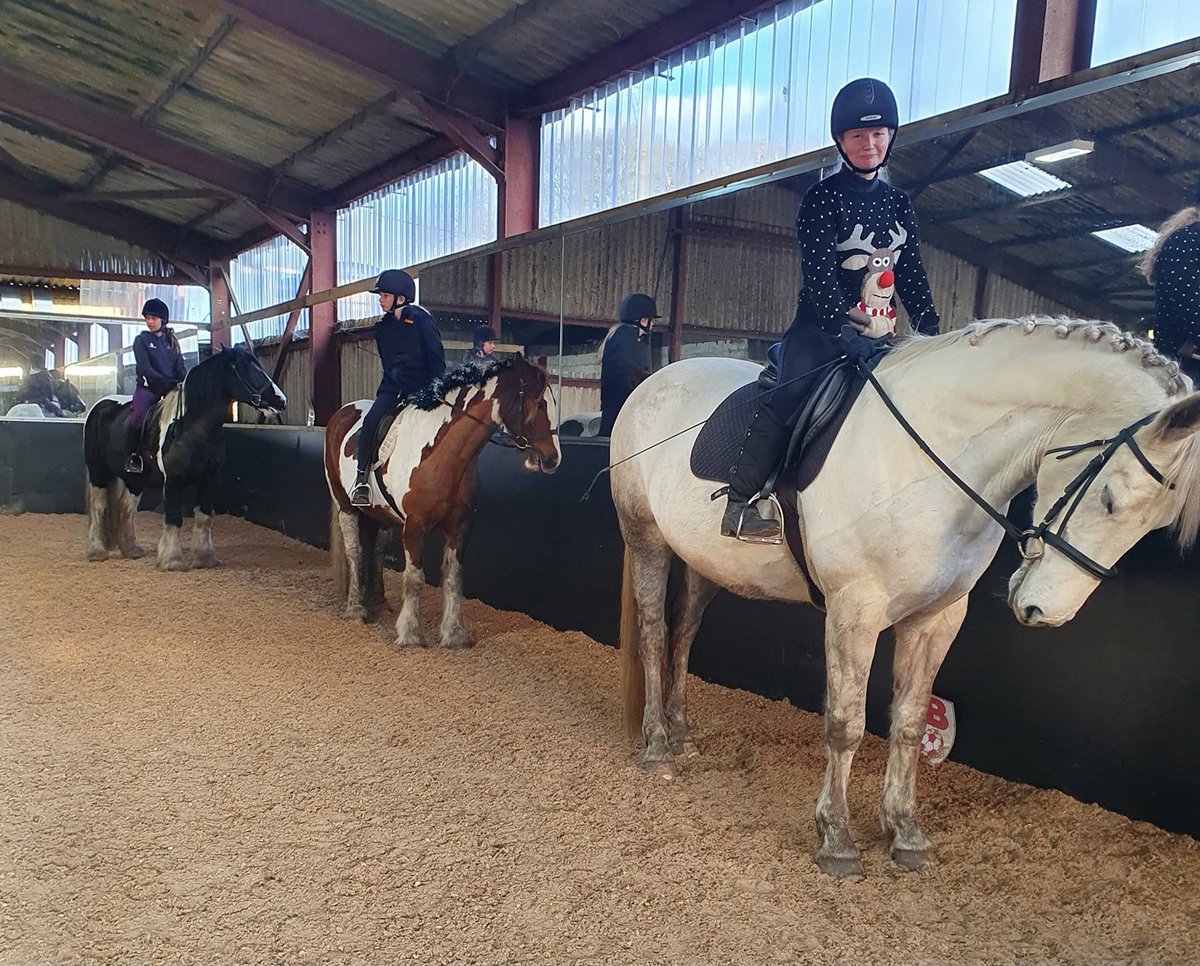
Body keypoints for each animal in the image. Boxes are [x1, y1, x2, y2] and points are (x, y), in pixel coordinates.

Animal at [83, 345, 287, 570]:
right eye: (248, 368)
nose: (281, 401)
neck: (193, 429)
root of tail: (100, 406)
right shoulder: (173, 481)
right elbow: (174, 519)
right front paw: (172, 561)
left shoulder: (209, 480)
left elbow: (204, 517)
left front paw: (204, 558)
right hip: (98, 471)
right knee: (99, 505)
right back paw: (96, 551)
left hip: (135, 479)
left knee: (126, 507)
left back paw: (131, 550)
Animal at [325, 355, 561, 649]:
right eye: (539, 403)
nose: (553, 459)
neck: (443, 454)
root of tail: (342, 413)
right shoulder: (414, 527)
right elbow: (414, 579)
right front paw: (411, 634)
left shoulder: (461, 527)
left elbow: (453, 578)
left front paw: (454, 634)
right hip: (345, 505)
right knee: (355, 551)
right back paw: (356, 609)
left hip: (380, 515)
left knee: (376, 550)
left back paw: (377, 602)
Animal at [611, 318, 1200, 879]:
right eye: (1109, 497)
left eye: (1156, 526)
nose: (1045, 611)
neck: (931, 457)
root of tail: (655, 381)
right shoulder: (855, 610)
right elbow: (845, 724)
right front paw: (837, 839)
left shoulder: (937, 617)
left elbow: (911, 722)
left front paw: (905, 833)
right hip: (647, 538)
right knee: (653, 632)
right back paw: (657, 746)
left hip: (700, 560)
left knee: (684, 632)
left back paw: (682, 733)